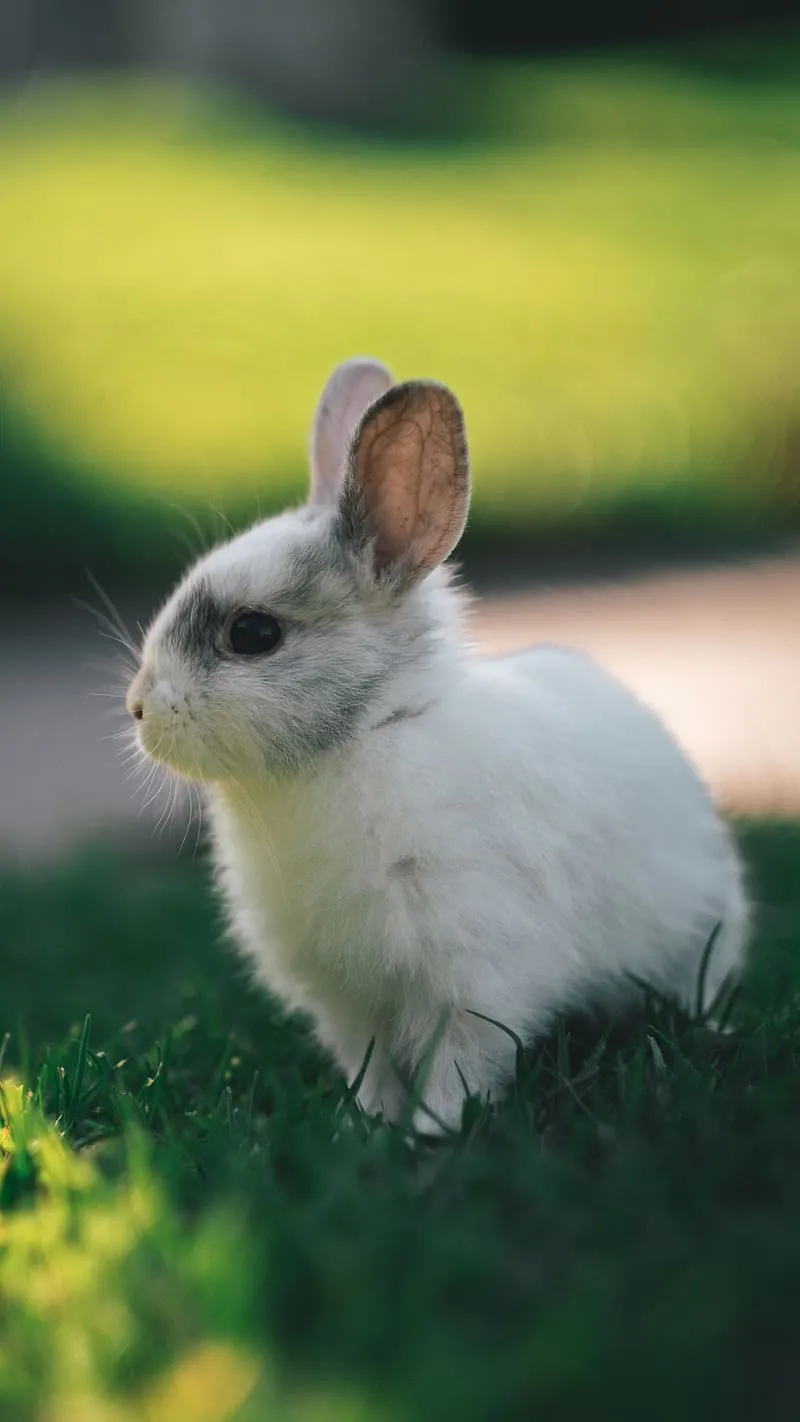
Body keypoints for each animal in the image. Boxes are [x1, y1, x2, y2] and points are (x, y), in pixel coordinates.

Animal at [126, 356, 750, 1134]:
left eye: (253, 634)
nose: (139, 708)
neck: (365, 733)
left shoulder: (473, 974)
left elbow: (459, 1063)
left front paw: (434, 1132)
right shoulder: (347, 1000)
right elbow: (371, 1065)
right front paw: (368, 1125)